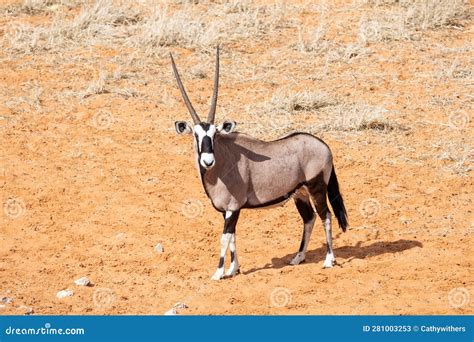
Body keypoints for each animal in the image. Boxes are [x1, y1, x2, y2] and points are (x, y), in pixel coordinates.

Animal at [170, 47, 348, 280]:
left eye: (215, 134)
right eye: (196, 136)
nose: (207, 160)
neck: (223, 162)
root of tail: (324, 145)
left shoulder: (232, 208)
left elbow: (225, 238)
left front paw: (218, 273)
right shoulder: (229, 211)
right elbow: (233, 236)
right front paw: (233, 269)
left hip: (316, 187)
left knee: (325, 216)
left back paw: (328, 260)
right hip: (299, 193)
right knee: (309, 218)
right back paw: (298, 257)